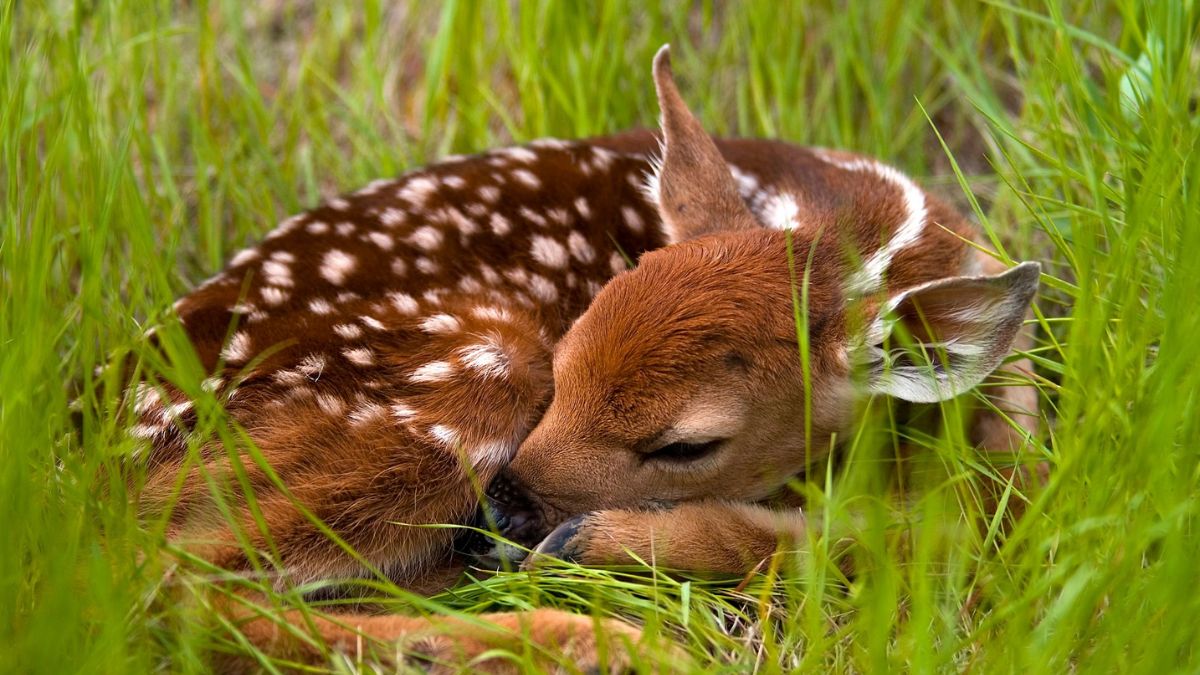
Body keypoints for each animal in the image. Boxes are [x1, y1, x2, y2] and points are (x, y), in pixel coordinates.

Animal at [131, 46, 1042, 672]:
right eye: (566, 356)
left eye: (688, 445)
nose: (500, 511)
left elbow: (937, 533)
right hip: (464, 375)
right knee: (170, 590)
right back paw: (602, 644)